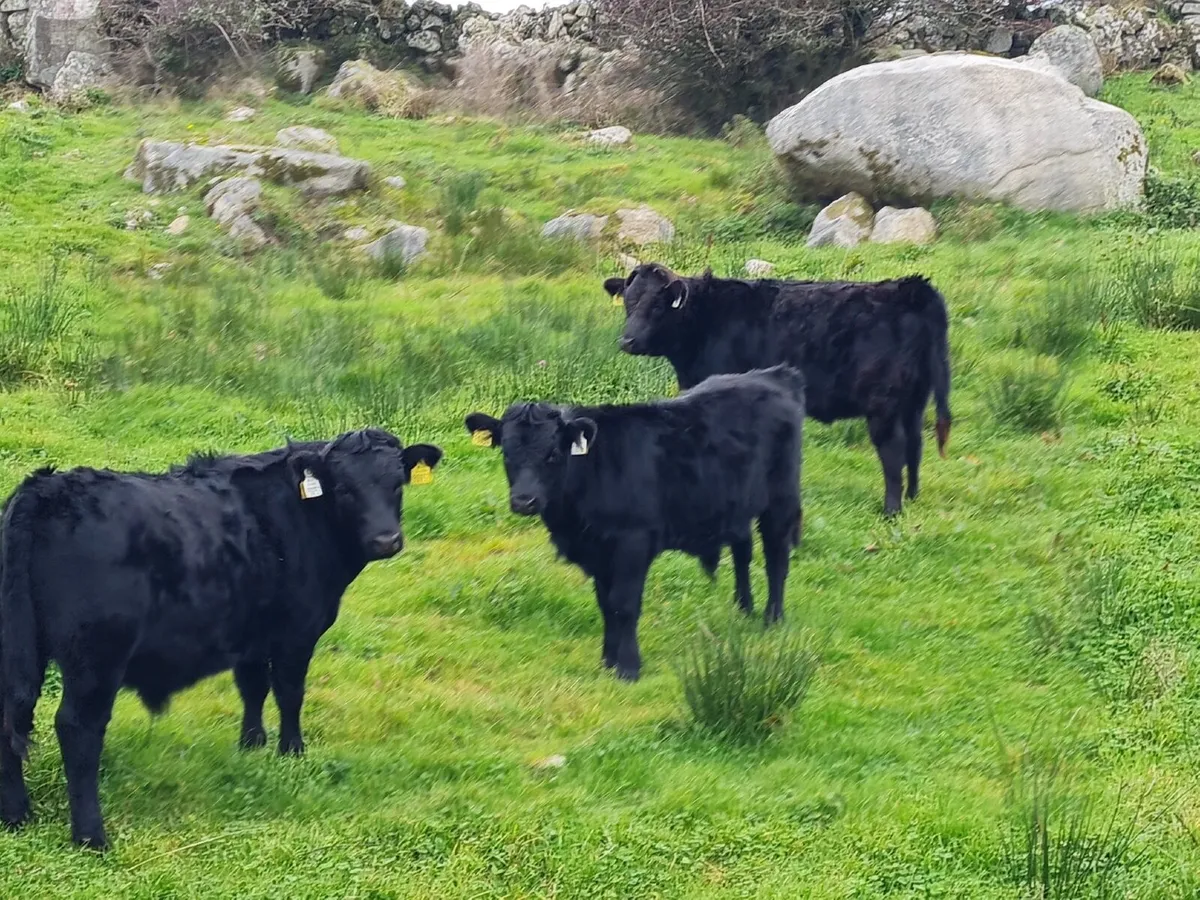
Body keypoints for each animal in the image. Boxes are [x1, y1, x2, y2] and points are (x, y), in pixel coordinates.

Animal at [0, 428, 442, 849]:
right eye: (345, 488)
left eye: (397, 484)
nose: (386, 540)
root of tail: (45, 489)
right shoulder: (297, 631)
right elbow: (289, 692)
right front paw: (292, 751)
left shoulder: (250, 633)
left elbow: (253, 688)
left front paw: (252, 744)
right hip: (96, 657)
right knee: (79, 729)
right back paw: (91, 836)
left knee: (11, 715)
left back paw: (16, 815)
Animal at [465, 365, 805, 682]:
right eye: (507, 454)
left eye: (552, 454)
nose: (525, 501)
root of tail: (772, 374)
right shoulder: (599, 551)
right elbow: (605, 605)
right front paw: (608, 660)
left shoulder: (632, 542)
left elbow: (624, 604)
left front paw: (628, 667)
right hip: (736, 506)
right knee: (742, 553)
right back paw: (743, 609)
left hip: (781, 500)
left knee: (776, 558)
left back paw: (772, 618)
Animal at [604, 264, 952, 516]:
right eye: (628, 304)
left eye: (657, 306)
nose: (627, 340)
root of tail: (910, 288)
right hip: (914, 398)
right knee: (915, 443)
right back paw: (912, 497)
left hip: (884, 403)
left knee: (892, 450)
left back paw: (892, 509)